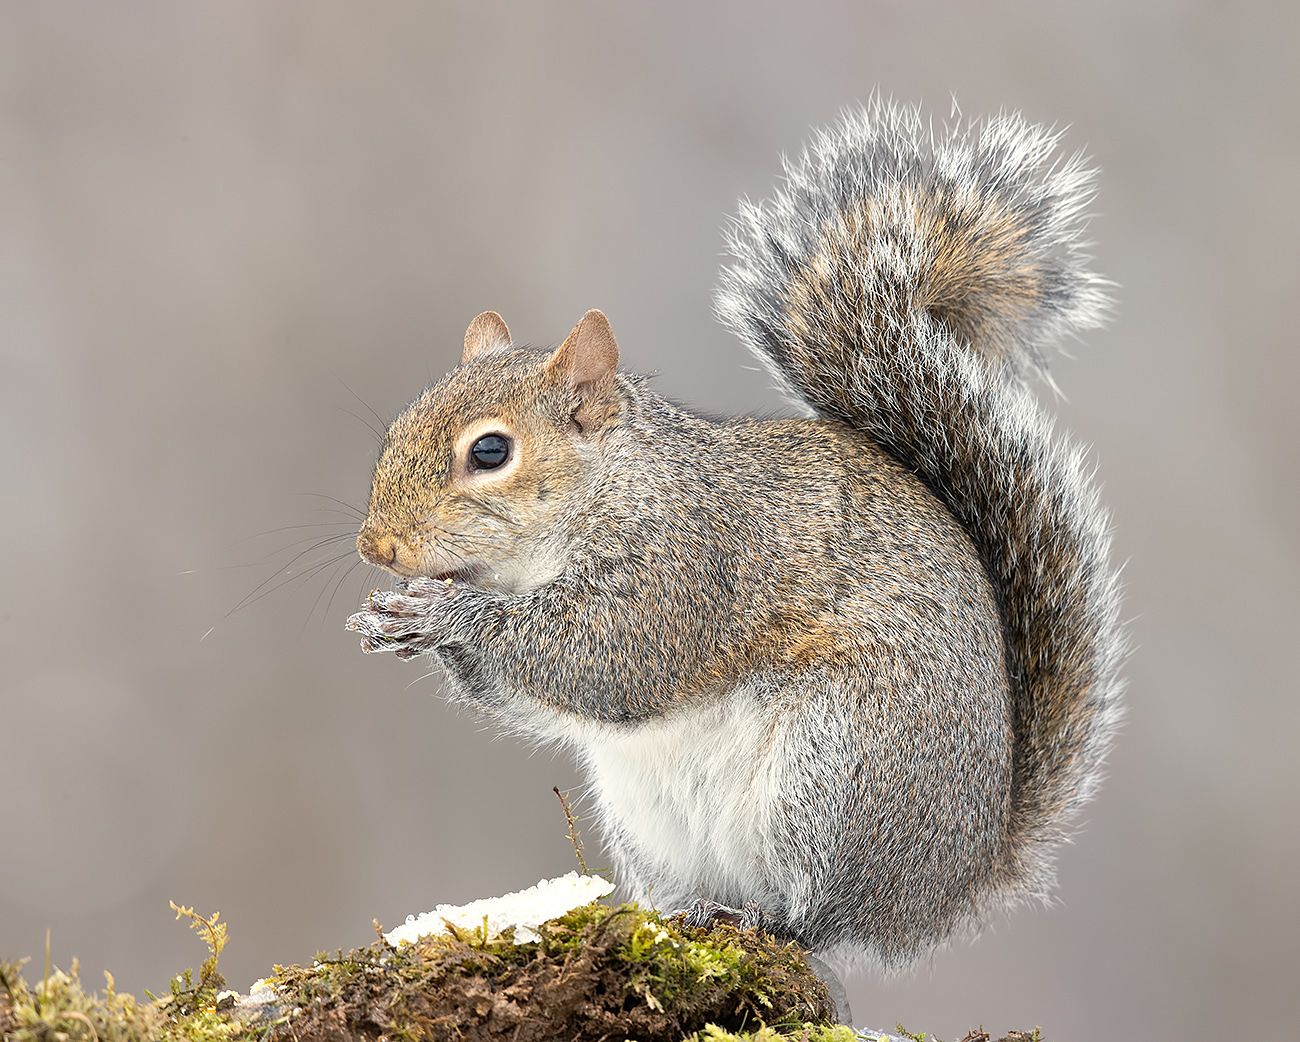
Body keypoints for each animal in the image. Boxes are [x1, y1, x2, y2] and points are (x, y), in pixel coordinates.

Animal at [346, 100, 1125, 970]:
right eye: (399, 426)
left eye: (490, 452)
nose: (377, 548)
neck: (611, 491)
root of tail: (951, 883)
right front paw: (389, 617)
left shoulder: (690, 564)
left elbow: (602, 658)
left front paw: (446, 615)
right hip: (652, 819)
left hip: (833, 770)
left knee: (818, 921)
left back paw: (763, 919)